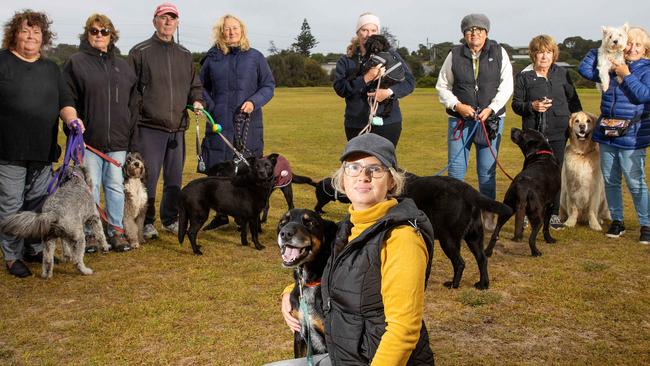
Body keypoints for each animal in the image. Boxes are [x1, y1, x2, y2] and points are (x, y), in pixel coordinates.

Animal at [484, 129, 560, 258]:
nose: (513, 129)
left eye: (524, 132)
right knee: (531, 238)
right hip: (537, 215)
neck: (541, 155)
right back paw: (536, 252)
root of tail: (522, 187)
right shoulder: (550, 204)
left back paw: (488, 252)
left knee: (495, 233)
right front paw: (549, 240)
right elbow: (546, 227)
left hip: (507, 208)